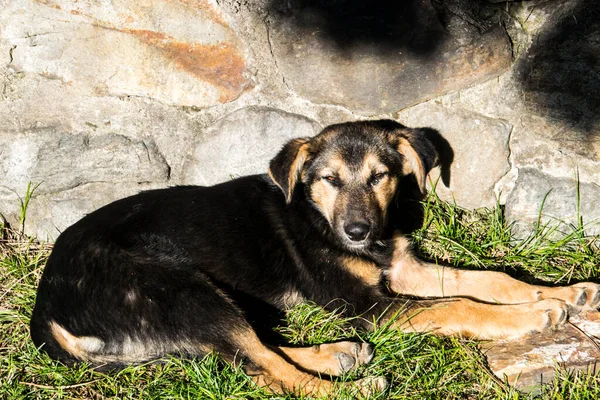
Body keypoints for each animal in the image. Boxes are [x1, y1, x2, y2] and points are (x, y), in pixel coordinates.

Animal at [30, 119, 600, 396]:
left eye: (380, 176)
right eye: (329, 179)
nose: (357, 232)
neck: (314, 214)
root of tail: (45, 309)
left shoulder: (403, 267)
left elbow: (491, 279)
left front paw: (565, 292)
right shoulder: (367, 306)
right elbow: (459, 305)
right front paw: (533, 315)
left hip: (204, 305)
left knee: (254, 355)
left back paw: (339, 356)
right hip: (179, 289)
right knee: (270, 375)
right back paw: (358, 387)